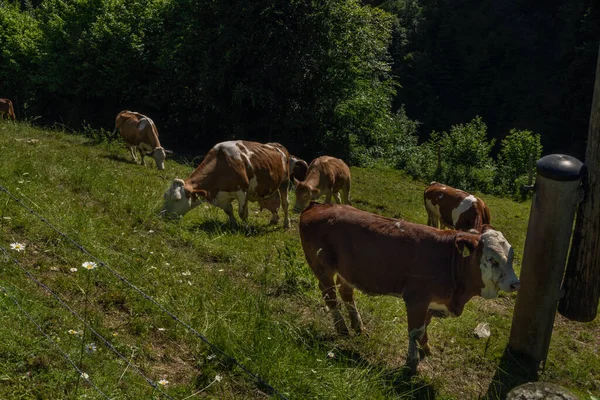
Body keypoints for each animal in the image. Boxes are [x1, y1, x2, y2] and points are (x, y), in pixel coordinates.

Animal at [159, 140, 290, 228]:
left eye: (177, 199)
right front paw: (233, 225)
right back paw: (274, 219)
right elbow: (228, 211)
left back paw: (286, 224)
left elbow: (242, 213)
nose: (162, 215)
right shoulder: (221, 196)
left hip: (285, 183)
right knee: (273, 204)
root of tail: (278, 145)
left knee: (285, 204)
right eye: (165, 196)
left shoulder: (242, 191)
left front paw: (246, 228)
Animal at [300, 203, 520, 376]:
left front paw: (427, 349)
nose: (515, 283)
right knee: (330, 296)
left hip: (347, 272)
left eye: (510, 257)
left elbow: (424, 327)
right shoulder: (416, 299)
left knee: (346, 294)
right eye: (491, 259)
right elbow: (414, 331)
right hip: (323, 267)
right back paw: (342, 328)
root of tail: (317, 206)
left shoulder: (431, 302)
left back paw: (358, 327)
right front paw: (412, 361)